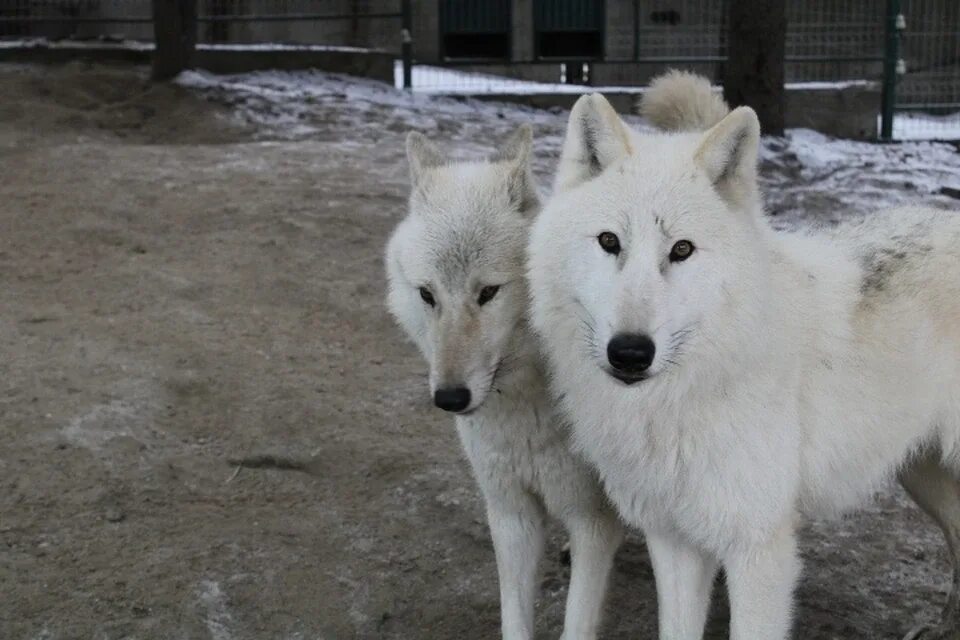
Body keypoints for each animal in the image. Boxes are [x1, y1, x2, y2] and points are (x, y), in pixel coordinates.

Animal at [382, 126, 624, 640]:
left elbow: (577, 622)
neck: (525, 414)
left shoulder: (593, 522)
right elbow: (514, 617)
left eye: (488, 292)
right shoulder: (512, 514)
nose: (450, 398)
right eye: (427, 295)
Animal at [524, 71, 960, 640]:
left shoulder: (759, 549)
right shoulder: (673, 540)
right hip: (926, 476)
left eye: (681, 250)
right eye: (609, 241)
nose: (630, 353)